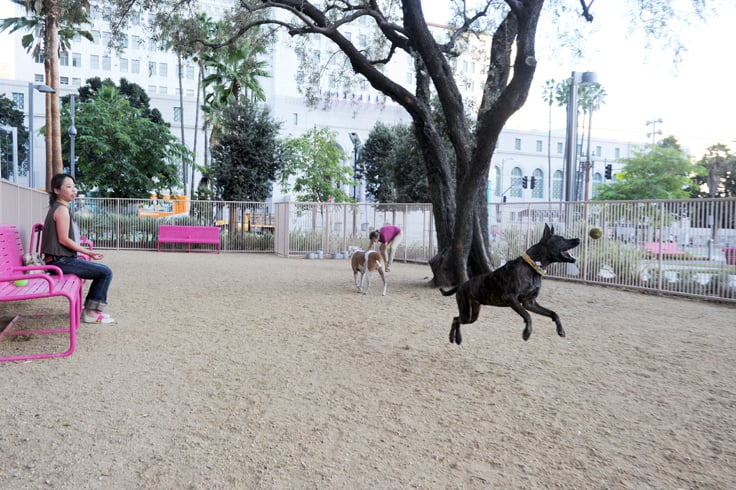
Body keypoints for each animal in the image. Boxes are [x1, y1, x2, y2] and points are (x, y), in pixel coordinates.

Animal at [442, 224, 580, 342]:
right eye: (561, 239)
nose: (578, 239)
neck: (533, 267)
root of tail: (461, 285)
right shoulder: (510, 298)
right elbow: (527, 315)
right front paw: (526, 333)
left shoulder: (529, 303)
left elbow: (553, 313)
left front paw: (561, 330)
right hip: (466, 311)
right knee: (456, 319)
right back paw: (454, 338)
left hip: (473, 314)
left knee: (456, 319)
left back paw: (456, 339)